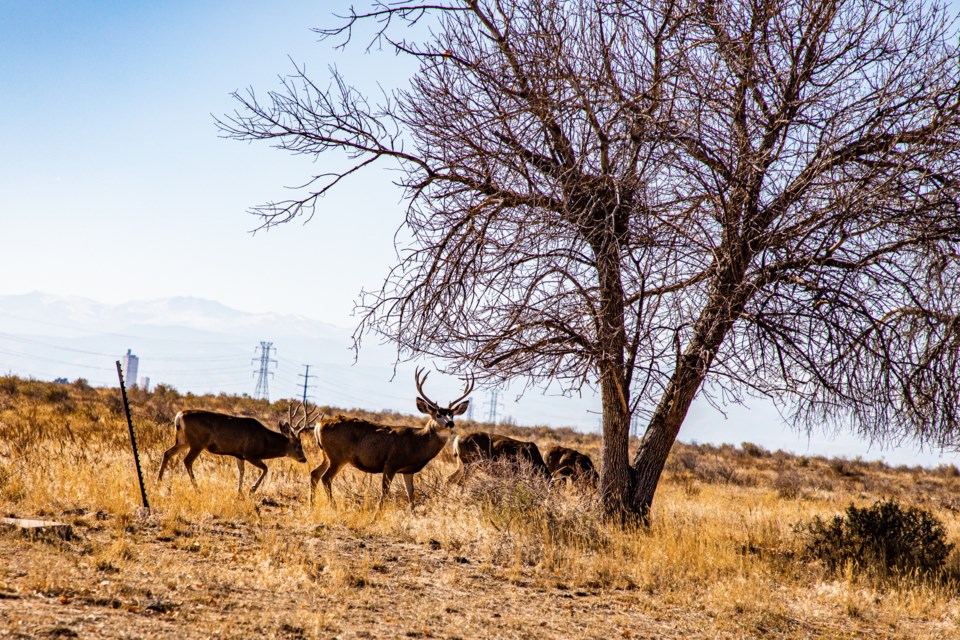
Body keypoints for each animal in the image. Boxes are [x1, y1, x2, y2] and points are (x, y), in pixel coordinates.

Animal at [157, 404, 318, 496]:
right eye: (299, 446)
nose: (304, 459)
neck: (265, 441)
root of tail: (179, 416)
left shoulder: (239, 455)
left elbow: (241, 471)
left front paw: (239, 492)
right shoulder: (250, 453)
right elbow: (265, 468)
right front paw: (251, 489)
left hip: (183, 441)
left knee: (167, 453)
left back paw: (158, 480)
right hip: (197, 442)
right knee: (187, 461)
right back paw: (197, 489)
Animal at [312, 370, 472, 510]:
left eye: (452, 415)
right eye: (438, 414)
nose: (450, 423)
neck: (417, 442)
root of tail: (319, 424)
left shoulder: (408, 470)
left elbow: (411, 494)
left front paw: (412, 515)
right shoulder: (391, 463)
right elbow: (385, 492)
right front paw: (376, 515)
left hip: (327, 455)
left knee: (315, 473)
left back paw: (311, 505)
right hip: (338, 456)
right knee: (326, 478)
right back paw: (333, 507)